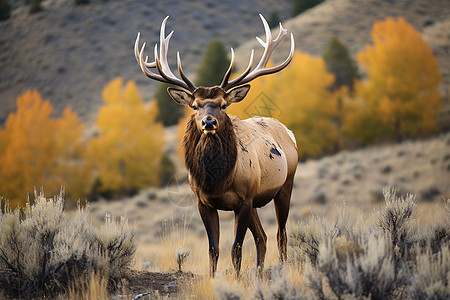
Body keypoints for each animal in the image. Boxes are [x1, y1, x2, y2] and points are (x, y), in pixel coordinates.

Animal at [135, 14, 300, 276]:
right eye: (195, 105)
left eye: (223, 104)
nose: (209, 121)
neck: (217, 182)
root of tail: (289, 132)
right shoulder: (204, 202)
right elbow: (213, 250)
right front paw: (214, 279)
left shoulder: (243, 200)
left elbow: (236, 250)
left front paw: (236, 278)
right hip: (256, 199)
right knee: (262, 237)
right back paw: (260, 273)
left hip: (285, 184)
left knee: (280, 235)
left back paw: (281, 269)